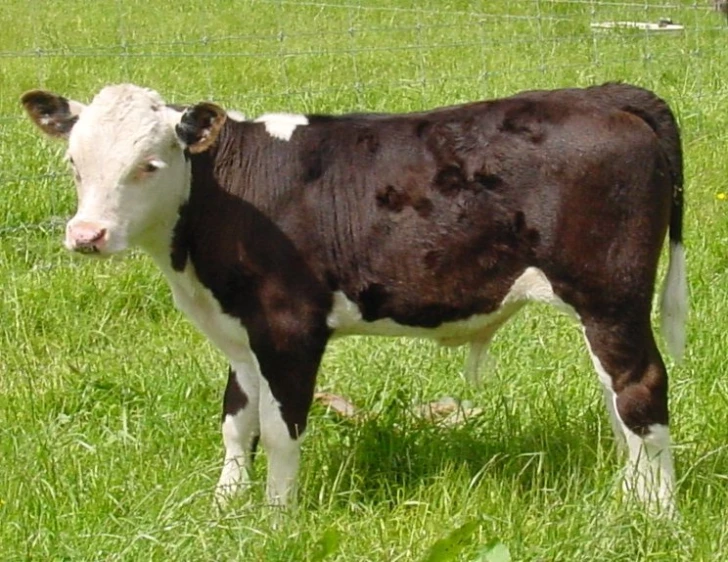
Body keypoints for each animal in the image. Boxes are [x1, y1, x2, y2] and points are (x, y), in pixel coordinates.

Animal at [19, 81, 684, 510]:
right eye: (74, 162)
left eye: (149, 165)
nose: (86, 235)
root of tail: (602, 94)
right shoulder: (241, 332)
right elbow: (237, 421)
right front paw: (224, 510)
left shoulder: (289, 327)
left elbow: (280, 429)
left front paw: (278, 519)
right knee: (618, 401)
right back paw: (629, 497)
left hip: (610, 298)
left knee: (641, 389)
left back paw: (653, 516)